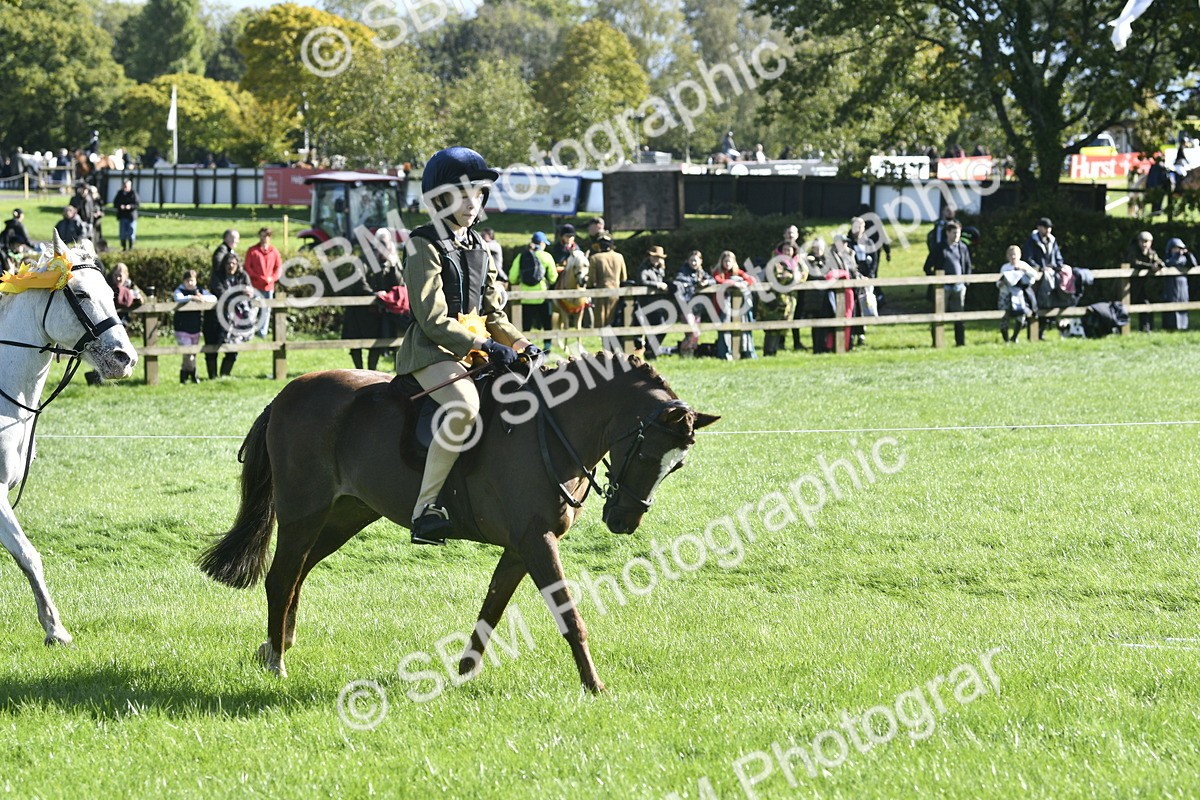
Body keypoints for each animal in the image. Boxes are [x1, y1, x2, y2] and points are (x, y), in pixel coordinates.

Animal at [199, 353, 719, 691]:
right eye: (648, 452)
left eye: (677, 465)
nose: (624, 520)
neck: (550, 429)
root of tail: (289, 392)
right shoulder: (536, 541)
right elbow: (569, 615)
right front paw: (595, 687)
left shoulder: (521, 547)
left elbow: (492, 609)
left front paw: (464, 673)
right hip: (303, 512)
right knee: (282, 576)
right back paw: (277, 664)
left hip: (345, 514)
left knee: (297, 575)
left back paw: (277, 647)